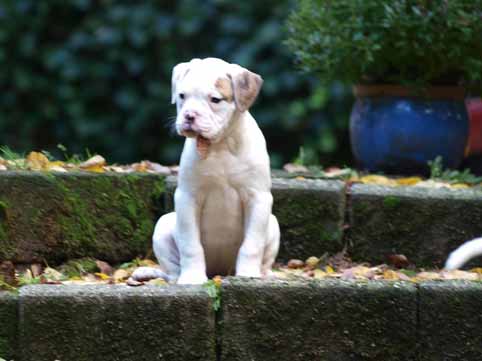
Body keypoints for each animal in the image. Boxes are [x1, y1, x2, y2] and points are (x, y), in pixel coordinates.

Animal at [134, 57, 280, 284]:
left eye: (215, 99)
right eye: (182, 96)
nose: (189, 115)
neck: (221, 146)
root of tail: (218, 272)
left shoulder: (258, 198)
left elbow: (252, 244)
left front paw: (247, 274)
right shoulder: (188, 198)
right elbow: (190, 245)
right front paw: (193, 278)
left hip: (272, 224)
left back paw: (264, 274)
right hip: (163, 227)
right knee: (172, 270)